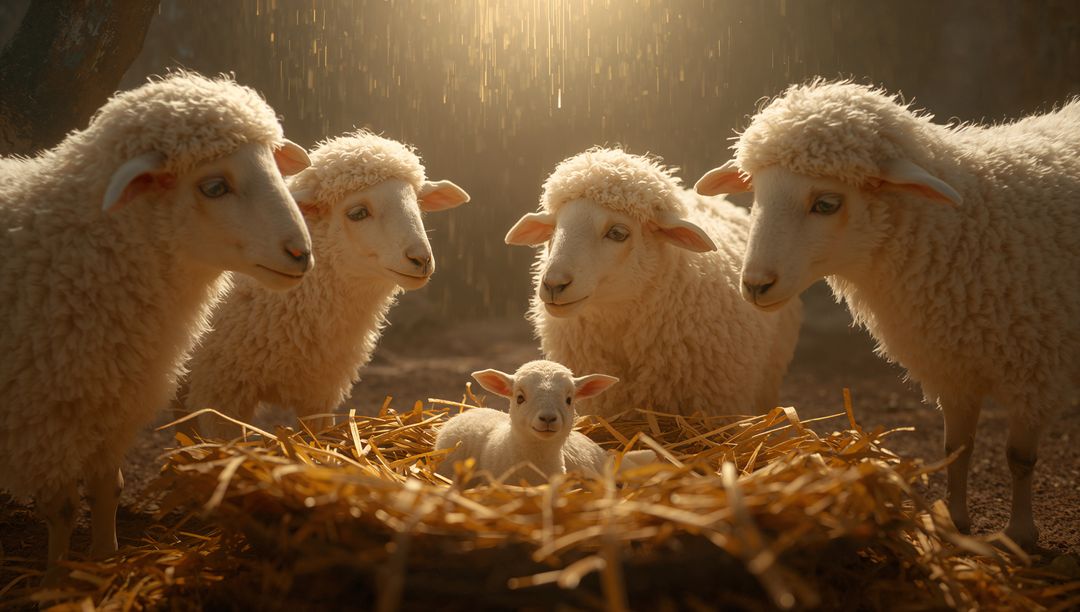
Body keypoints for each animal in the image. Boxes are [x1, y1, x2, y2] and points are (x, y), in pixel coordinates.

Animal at [0, 72, 313, 567]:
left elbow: (107, 489)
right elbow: (62, 508)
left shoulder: (113, 408)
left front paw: (104, 559)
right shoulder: (41, 422)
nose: (301, 254)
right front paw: (57, 576)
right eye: (214, 187)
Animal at [694, 80, 1080, 549]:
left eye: (826, 203)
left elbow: (1019, 458)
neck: (968, 230)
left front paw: (1020, 534)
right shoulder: (952, 366)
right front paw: (953, 520)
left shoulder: (1036, 368)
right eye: (755, 192)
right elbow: (957, 449)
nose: (754, 285)